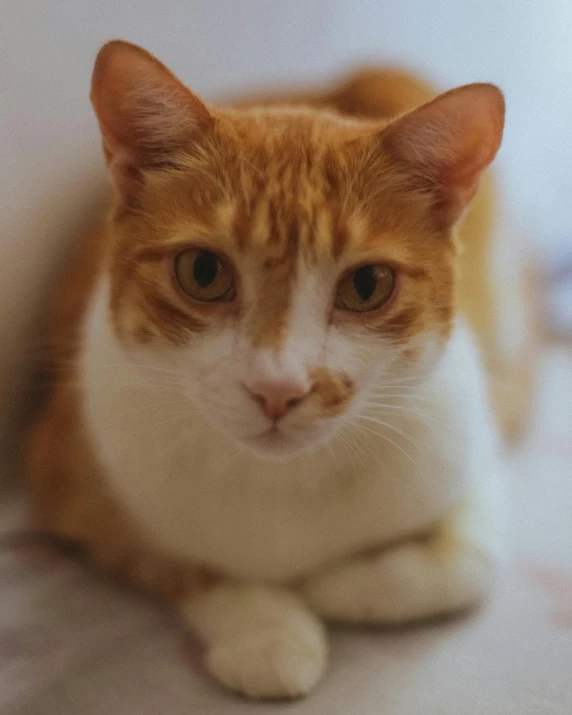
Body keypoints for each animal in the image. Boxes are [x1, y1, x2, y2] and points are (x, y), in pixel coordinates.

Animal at [25, 40, 532, 700]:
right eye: (203, 273)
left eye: (367, 285)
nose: (278, 388)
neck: (286, 480)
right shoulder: (67, 476)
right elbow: (186, 563)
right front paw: (268, 632)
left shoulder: (471, 456)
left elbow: (469, 565)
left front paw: (335, 586)